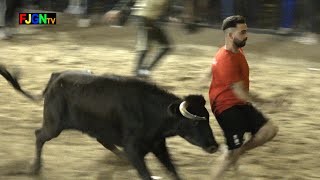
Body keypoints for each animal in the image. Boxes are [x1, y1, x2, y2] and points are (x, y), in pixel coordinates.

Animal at [6, 70, 220, 180]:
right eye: (195, 122)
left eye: (208, 119)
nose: (214, 146)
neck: (150, 111)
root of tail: (56, 76)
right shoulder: (134, 149)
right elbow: (146, 174)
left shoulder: (158, 146)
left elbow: (173, 171)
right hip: (54, 125)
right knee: (39, 135)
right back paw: (35, 169)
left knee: (105, 142)